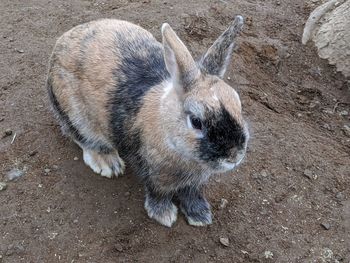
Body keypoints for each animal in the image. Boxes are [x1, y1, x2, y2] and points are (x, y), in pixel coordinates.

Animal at [47, 15, 249, 228]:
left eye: (238, 104)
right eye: (196, 121)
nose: (235, 156)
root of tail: (61, 42)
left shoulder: (195, 183)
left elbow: (191, 194)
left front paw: (200, 216)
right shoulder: (153, 173)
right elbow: (158, 193)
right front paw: (165, 216)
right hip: (74, 115)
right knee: (84, 140)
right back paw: (109, 164)